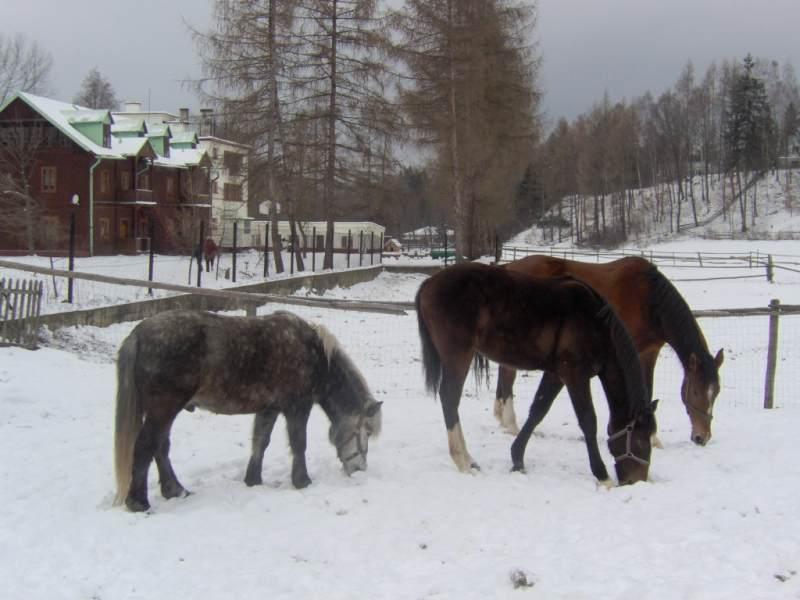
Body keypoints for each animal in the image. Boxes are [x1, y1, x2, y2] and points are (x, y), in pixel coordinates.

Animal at [113, 310, 384, 510]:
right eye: (367, 432)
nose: (359, 470)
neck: (313, 353)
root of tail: (138, 334)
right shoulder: (297, 407)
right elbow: (299, 443)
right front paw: (302, 481)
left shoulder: (269, 409)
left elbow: (260, 441)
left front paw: (253, 480)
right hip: (164, 408)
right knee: (146, 446)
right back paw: (139, 502)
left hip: (164, 411)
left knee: (160, 447)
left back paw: (175, 490)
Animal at [416, 264, 660, 488]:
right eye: (640, 443)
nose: (635, 481)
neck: (595, 323)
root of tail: (430, 282)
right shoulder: (575, 375)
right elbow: (588, 421)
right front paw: (602, 476)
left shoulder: (555, 375)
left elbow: (538, 411)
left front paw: (517, 460)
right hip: (458, 356)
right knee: (450, 398)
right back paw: (463, 461)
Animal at [496, 253, 720, 446]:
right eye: (696, 391)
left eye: (716, 392)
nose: (702, 437)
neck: (648, 300)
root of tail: (508, 267)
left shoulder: (649, 352)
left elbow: (649, 388)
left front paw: (653, 438)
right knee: (508, 373)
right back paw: (511, 424)